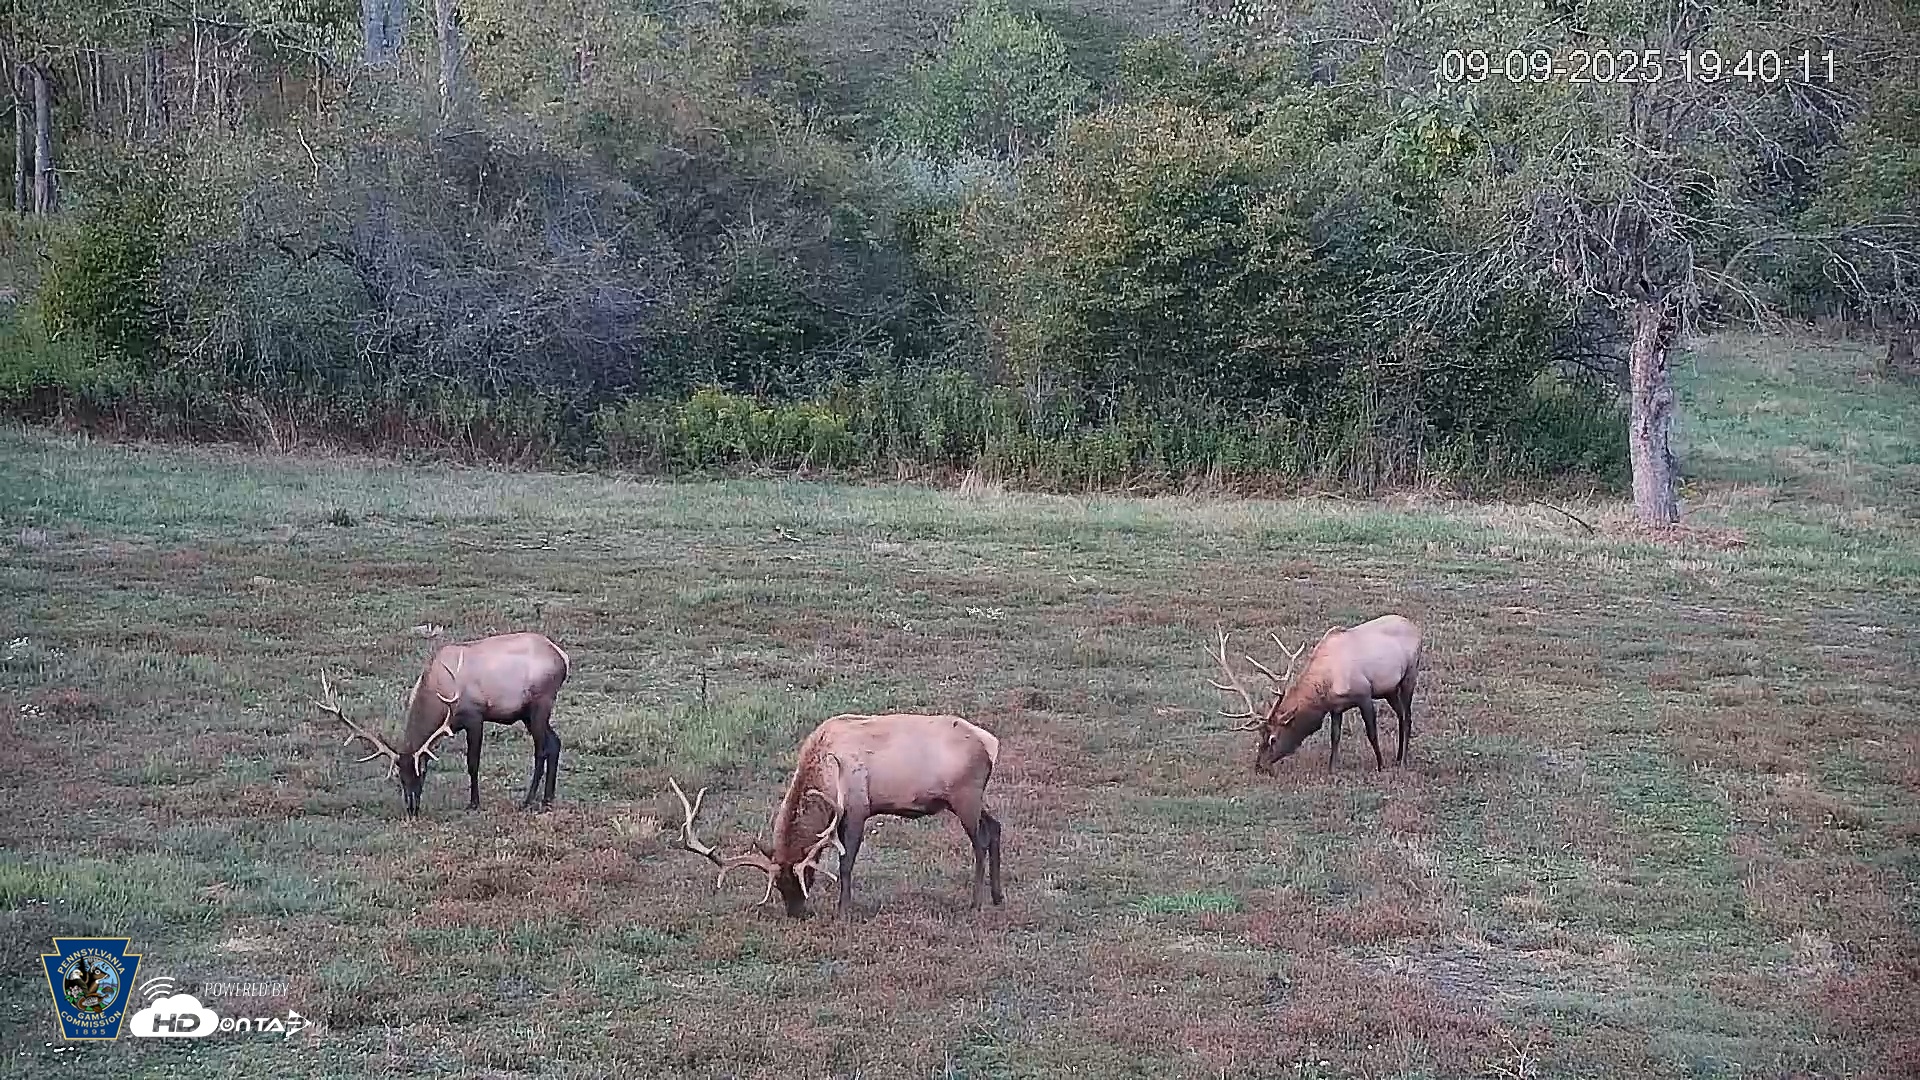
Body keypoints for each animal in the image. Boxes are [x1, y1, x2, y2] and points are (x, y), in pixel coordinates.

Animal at [312, 631, 571, 817]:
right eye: (400, 775)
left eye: (422, 771)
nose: (412, 809)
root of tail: (563, 657)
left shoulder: (475, 717)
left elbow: (473, 763)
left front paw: (474, 803)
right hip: (528, 713)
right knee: (555, 742)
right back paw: (548, 799)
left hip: (540, 703)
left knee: (542, 749)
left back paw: (528, 801)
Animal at [668, 712, 1005, 918]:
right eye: (778, 886)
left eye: (805, 877)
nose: (796, 913)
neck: (823, 771)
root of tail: (991, 744)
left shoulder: (856, 808)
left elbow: (846, 862)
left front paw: (843, 910)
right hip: (971, 799)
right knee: (996, 827)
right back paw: (998, 896)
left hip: (965, 796)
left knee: (980, 840)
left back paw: (976, 902)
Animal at [1208, 614, 1422, 774]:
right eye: (1260, 735)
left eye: (1273, 739)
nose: (1259, 767)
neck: (1326, 685)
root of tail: (1415, 628)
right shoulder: (1336, 707)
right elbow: (1335, 736)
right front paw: (1331, 768)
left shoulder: (1364, 694)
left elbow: (1372, 733)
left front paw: (1380, 765)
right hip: (1390, 690)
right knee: (1401, 715)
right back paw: (1398, 756)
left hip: (1409, 677)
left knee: (1407, 717)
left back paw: (1403, 760)